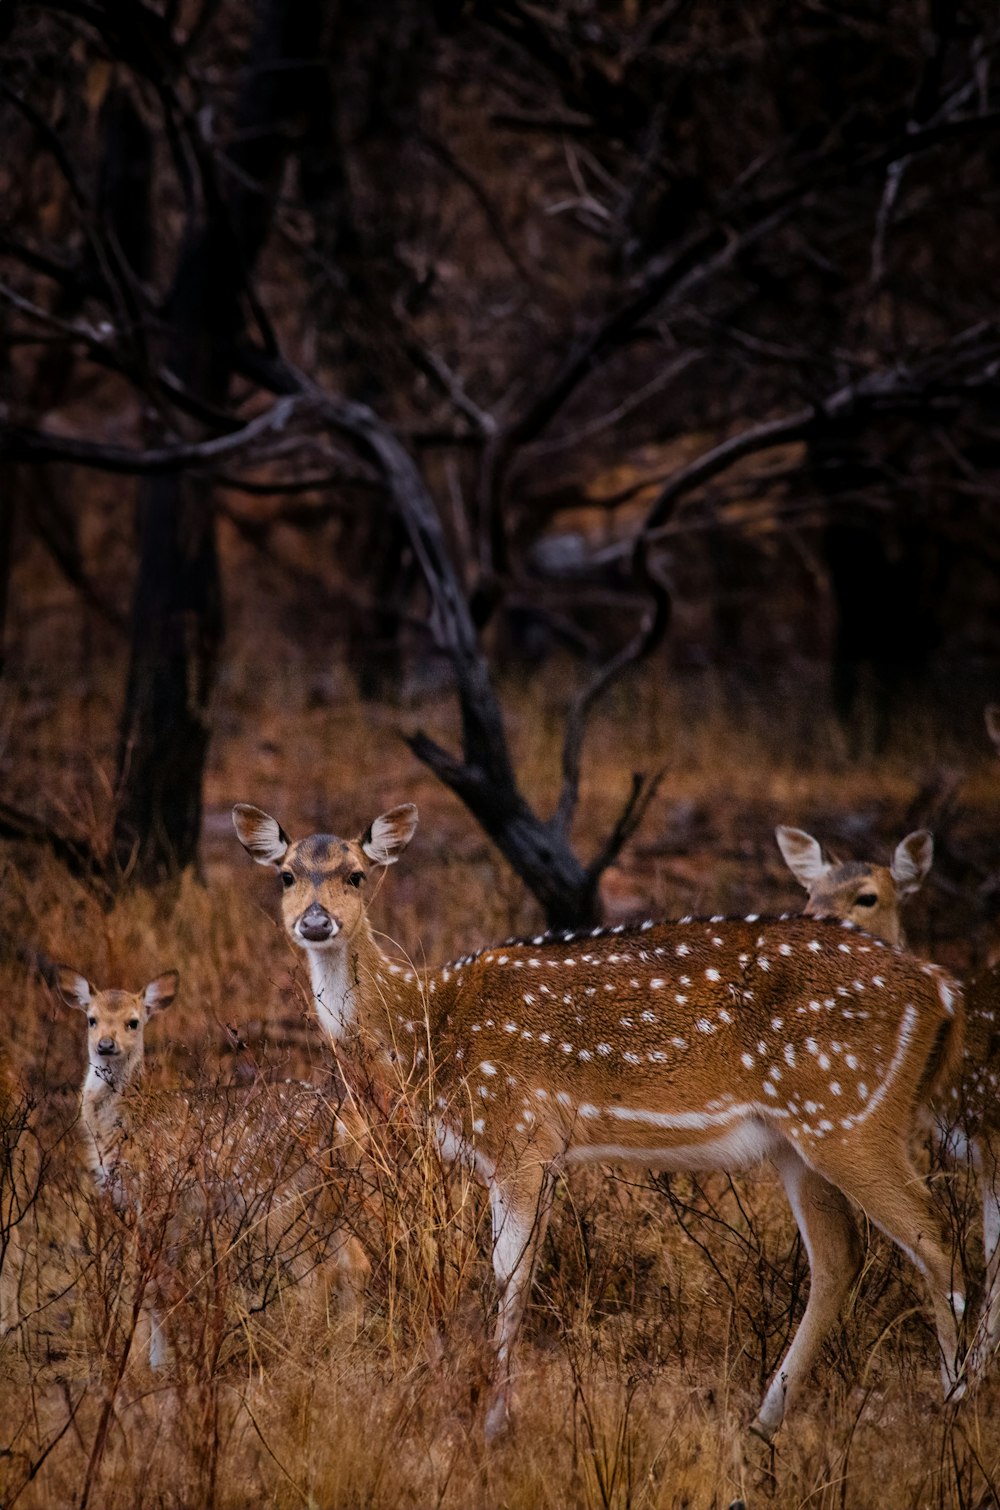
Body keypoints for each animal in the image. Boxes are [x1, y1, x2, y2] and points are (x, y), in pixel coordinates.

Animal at [55, 966, 368, 1371]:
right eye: (91, 1019)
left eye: (133, 1022)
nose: (106, 1045)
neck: (122, 1125)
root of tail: (346, 1123)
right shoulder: (171, 1212)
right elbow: (162, 1282)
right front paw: (162, 1364)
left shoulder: (153, 1193)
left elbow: (145, 1282)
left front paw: (136, 1366)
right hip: (333, 1197)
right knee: (355, 1262)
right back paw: (345, 1343)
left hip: (278, 1196)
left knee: (316, 1274)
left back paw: (299, 1352)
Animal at [235, 797, 972, 1443]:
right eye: (286, 874)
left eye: (357, 874)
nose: (316, 921)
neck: (429, 1029)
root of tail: (944, 989)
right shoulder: (524, 1153)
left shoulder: (519, 1134)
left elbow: (508, 1279)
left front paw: (494, 1423)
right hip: (803, 1137)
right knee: (840, 1257)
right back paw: (765, 1422)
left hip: (849, 1111)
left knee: (936, 1235)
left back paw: (956, 1402)